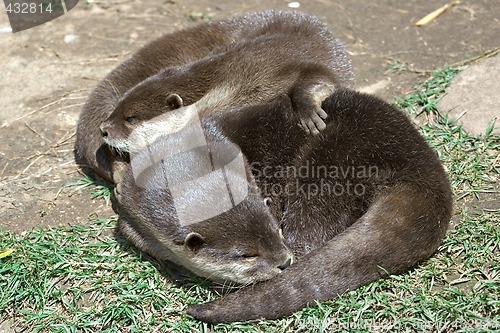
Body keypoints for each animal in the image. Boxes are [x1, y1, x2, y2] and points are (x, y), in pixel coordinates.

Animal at [76, 11, 354, 182]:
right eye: (117, 106)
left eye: (131, 118)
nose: (104, 129)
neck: (234, 80)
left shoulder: (280, 65)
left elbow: (318, 79)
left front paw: (309, 113)